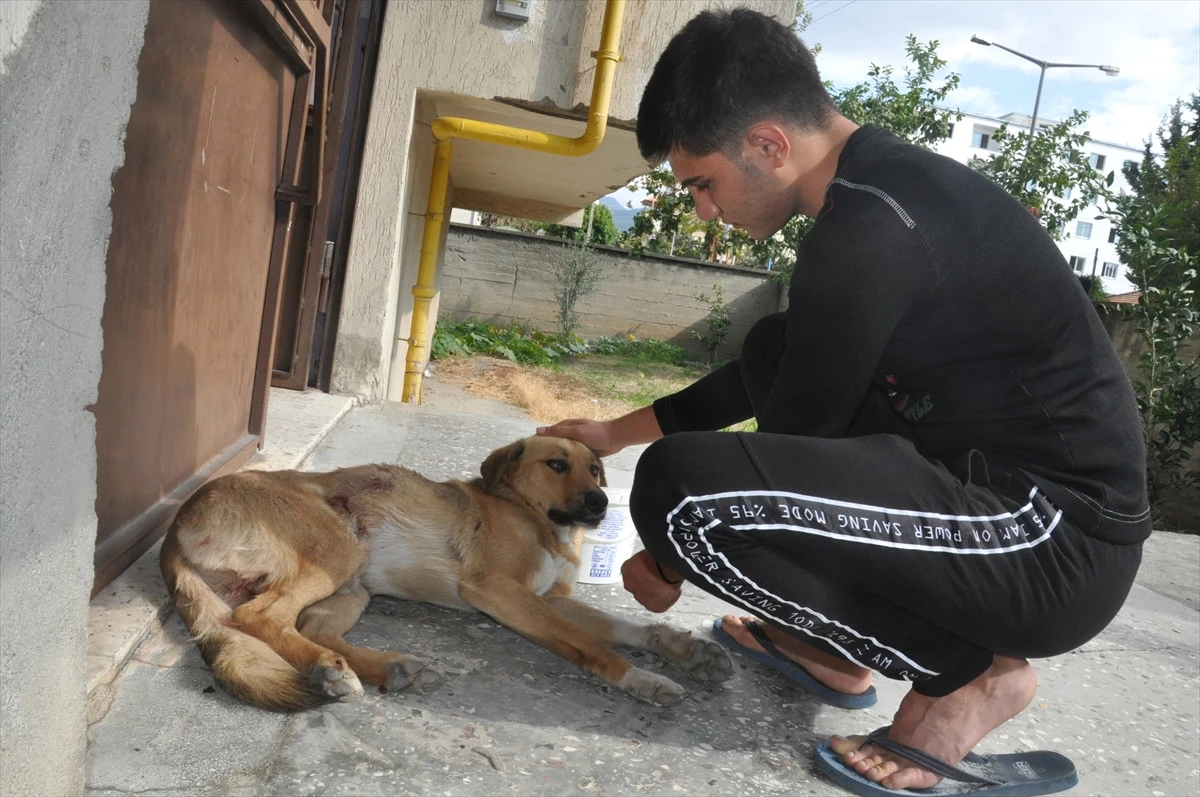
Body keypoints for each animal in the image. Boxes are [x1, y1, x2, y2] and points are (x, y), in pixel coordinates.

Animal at [159, 436, 729, 710]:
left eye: (594, 469)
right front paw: (643, 679)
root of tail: (176, 525)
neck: (535, 517)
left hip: (352, 589)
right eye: (557, 465)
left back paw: (383, 668)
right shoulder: (498, 590)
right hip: (337, 548)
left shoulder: (552, 598)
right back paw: (332, 670)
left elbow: (626, 626)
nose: (600, 503)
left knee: (307, 627)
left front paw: (683, 650)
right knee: (260, 617)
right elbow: (590, 643)